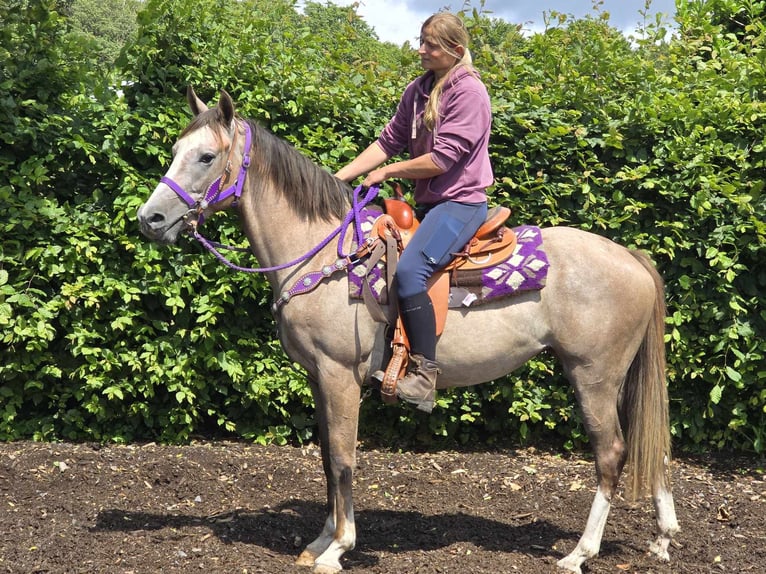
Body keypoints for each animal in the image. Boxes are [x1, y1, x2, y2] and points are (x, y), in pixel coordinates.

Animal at [136, 89, 680, 574]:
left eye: (207, 156)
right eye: (175, 151)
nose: (150, 219)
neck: (324, 253)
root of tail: (630, 257)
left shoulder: (340, 375)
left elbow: (343, 459)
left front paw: (338, 549)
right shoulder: (318, 377)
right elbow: (326, 458)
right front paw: (320, 540)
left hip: (593, 376)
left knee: (611, 453)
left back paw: (579, 554)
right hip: (619, 378)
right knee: (650, 443)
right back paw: (661, 538)